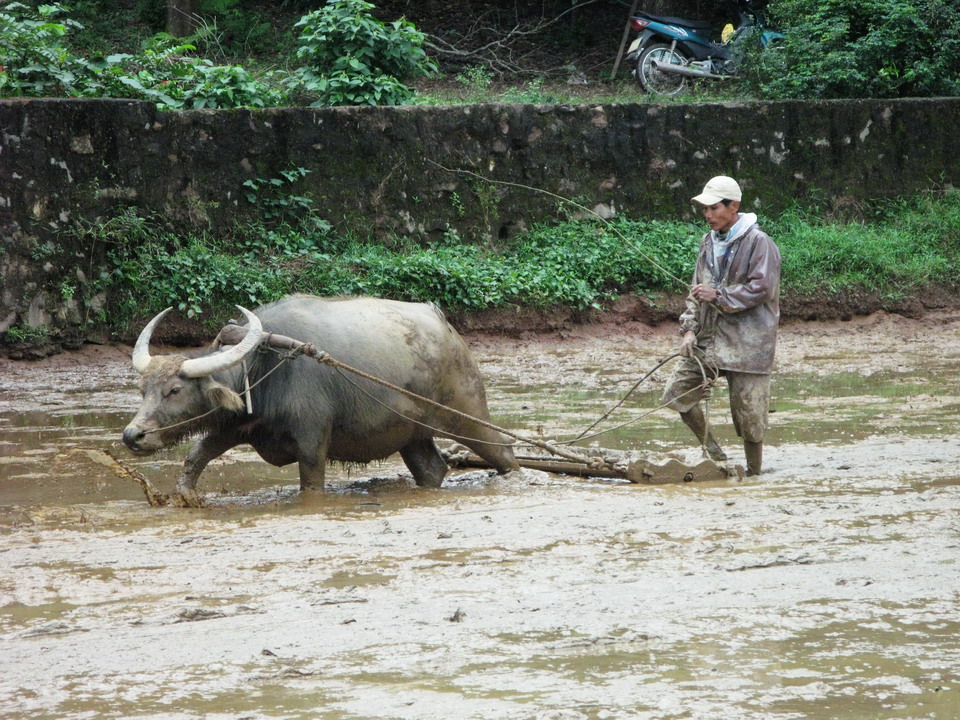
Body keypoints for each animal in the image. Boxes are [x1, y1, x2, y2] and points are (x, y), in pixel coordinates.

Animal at [122, 295, 518, 506]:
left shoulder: (312, 443)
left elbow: (311, 483)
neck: (264, 365)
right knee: (432, 468)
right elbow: (197, 455)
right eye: (144, 390)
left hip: (467, 413)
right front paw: (182, 495)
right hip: (411, 433)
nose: (132, 435)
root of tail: (447, 328)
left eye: (175, 390)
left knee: (503, 451)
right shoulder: (237, 425)